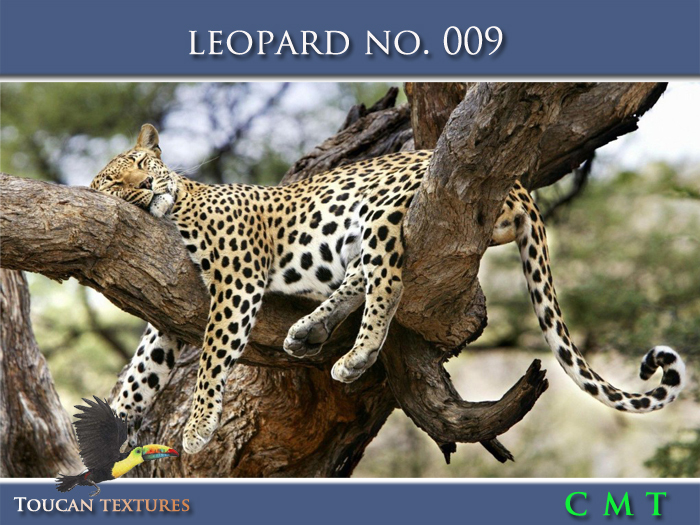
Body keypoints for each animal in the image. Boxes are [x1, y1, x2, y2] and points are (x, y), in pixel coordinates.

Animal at [91, 123, 686, 455]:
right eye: (117, 181)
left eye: (142, 164)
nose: (148, 184)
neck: (176, 206)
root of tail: (519, 184)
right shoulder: (168, 314)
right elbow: (141, 372)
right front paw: (109, 426)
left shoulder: (236, 281)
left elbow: (213, 359)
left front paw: (196, 430)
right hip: (356, 237)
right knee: (362, 275)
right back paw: (309, 331)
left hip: (381, 210)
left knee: (390, 282)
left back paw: (353, 357)